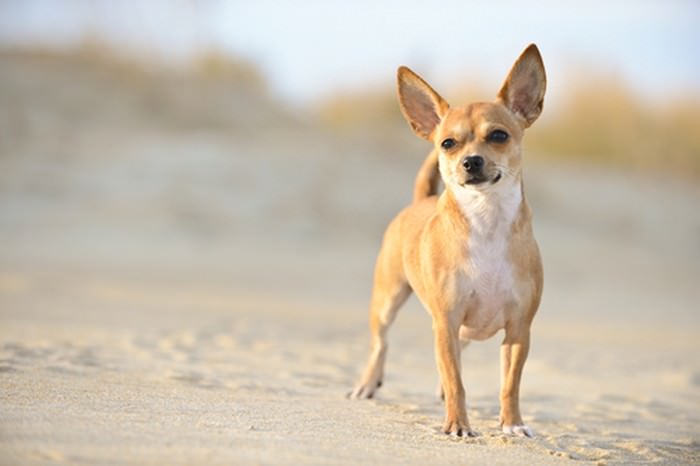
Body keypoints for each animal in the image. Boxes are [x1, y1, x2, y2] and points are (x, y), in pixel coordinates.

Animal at [350, 43, 548, 436]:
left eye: (499, 135)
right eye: (448, 143)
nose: (471, 161)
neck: (487, 222)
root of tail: (420, 199)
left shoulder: (519, 330)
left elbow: (510, 384)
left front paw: (513, 424)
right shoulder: (445, 321)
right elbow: (457, 380)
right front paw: (458, 424)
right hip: (388, 299)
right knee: (381, 343)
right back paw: (368, 382)